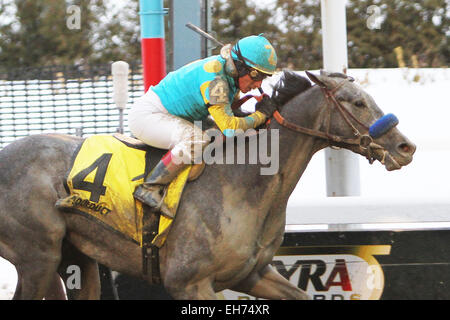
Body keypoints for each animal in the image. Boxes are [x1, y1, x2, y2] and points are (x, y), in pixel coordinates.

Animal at [0, 71, 414, 298]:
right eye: (355, 102)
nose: (404, 147)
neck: (245, 180)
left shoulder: (252, 274)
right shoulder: (189, 281)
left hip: (75, 257)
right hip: (39, 256)